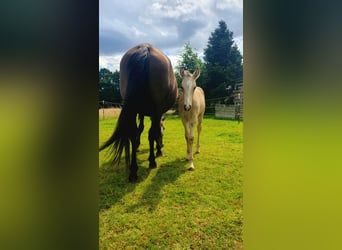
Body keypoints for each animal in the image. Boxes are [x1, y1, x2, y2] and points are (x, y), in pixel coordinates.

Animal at [99, 43, 178, 182]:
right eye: (165, 129)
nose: (162, 145)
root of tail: (145, 48)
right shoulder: (155, 113)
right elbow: (155, 132)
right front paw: (158, 149)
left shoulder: (140, 112)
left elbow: (139, 129)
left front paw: (137, 146)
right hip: (156, 109)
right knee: (151, 133)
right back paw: (152, 161)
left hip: (132, 108)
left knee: (132, 133)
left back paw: (133, 171)